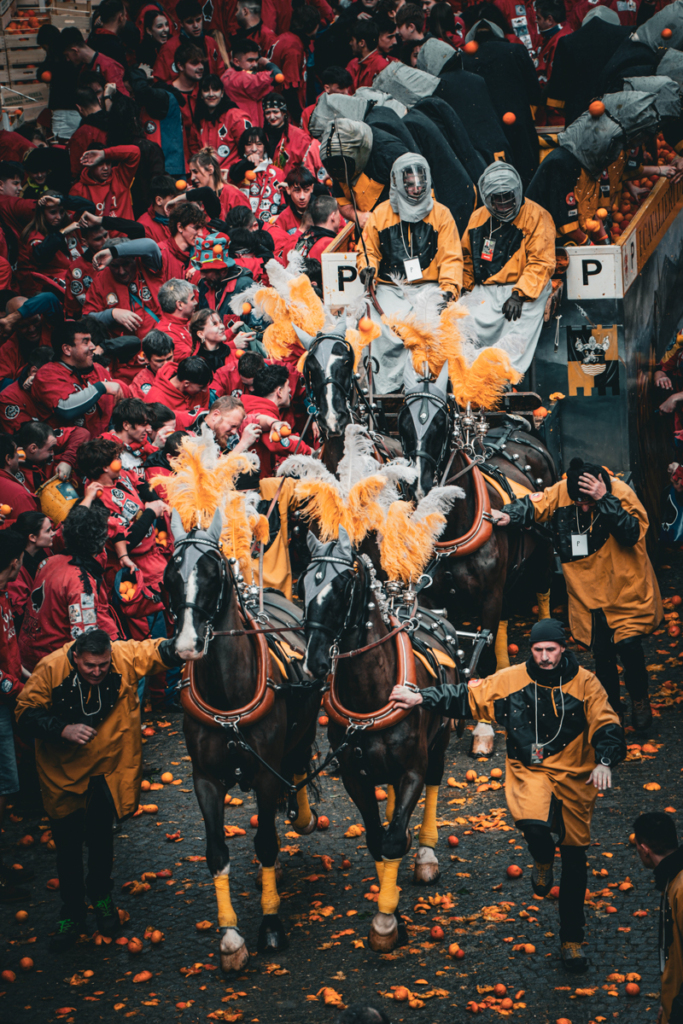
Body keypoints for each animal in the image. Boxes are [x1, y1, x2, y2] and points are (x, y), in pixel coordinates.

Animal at [167, 509, 323, 966]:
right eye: (170, 574)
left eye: (213, 572)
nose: (186, 644)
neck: (227, 694)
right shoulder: (205, 779)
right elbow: (217, 853)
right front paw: (231, 937)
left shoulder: (267, 773)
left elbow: (267, 842)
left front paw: (271, 926)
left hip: (302, 730)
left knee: (297, 765)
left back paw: (302, 816)